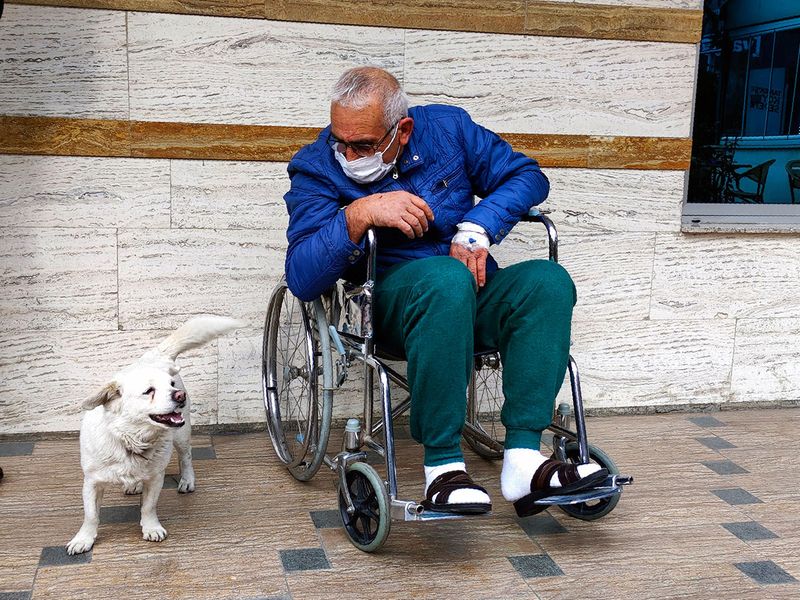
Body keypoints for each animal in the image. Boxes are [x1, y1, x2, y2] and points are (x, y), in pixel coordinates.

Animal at [67, 316, 242, 556]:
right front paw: (84, 538)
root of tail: (154, 356)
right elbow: (91, 515)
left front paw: (151, 528)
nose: (180, 395)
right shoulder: (92, 483)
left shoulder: (156, 477)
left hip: (181, 435)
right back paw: (134, 485)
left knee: (186, 457)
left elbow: (148, 507)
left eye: (171, 385)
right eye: (149, 391)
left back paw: (187, 480)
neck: (131, 439)